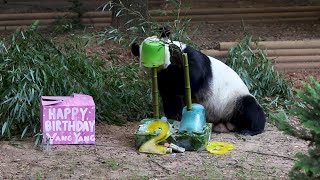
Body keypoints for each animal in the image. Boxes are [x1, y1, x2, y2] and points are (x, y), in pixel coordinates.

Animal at [131, 29, 266, 136]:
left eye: (158, 50)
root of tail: (227, 123)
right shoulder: (162, 77)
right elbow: (170, 96)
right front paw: (175, 118)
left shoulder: (190, 57)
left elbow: (193, 78)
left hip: (233, 100)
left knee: (249, 107)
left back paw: (250, 130)